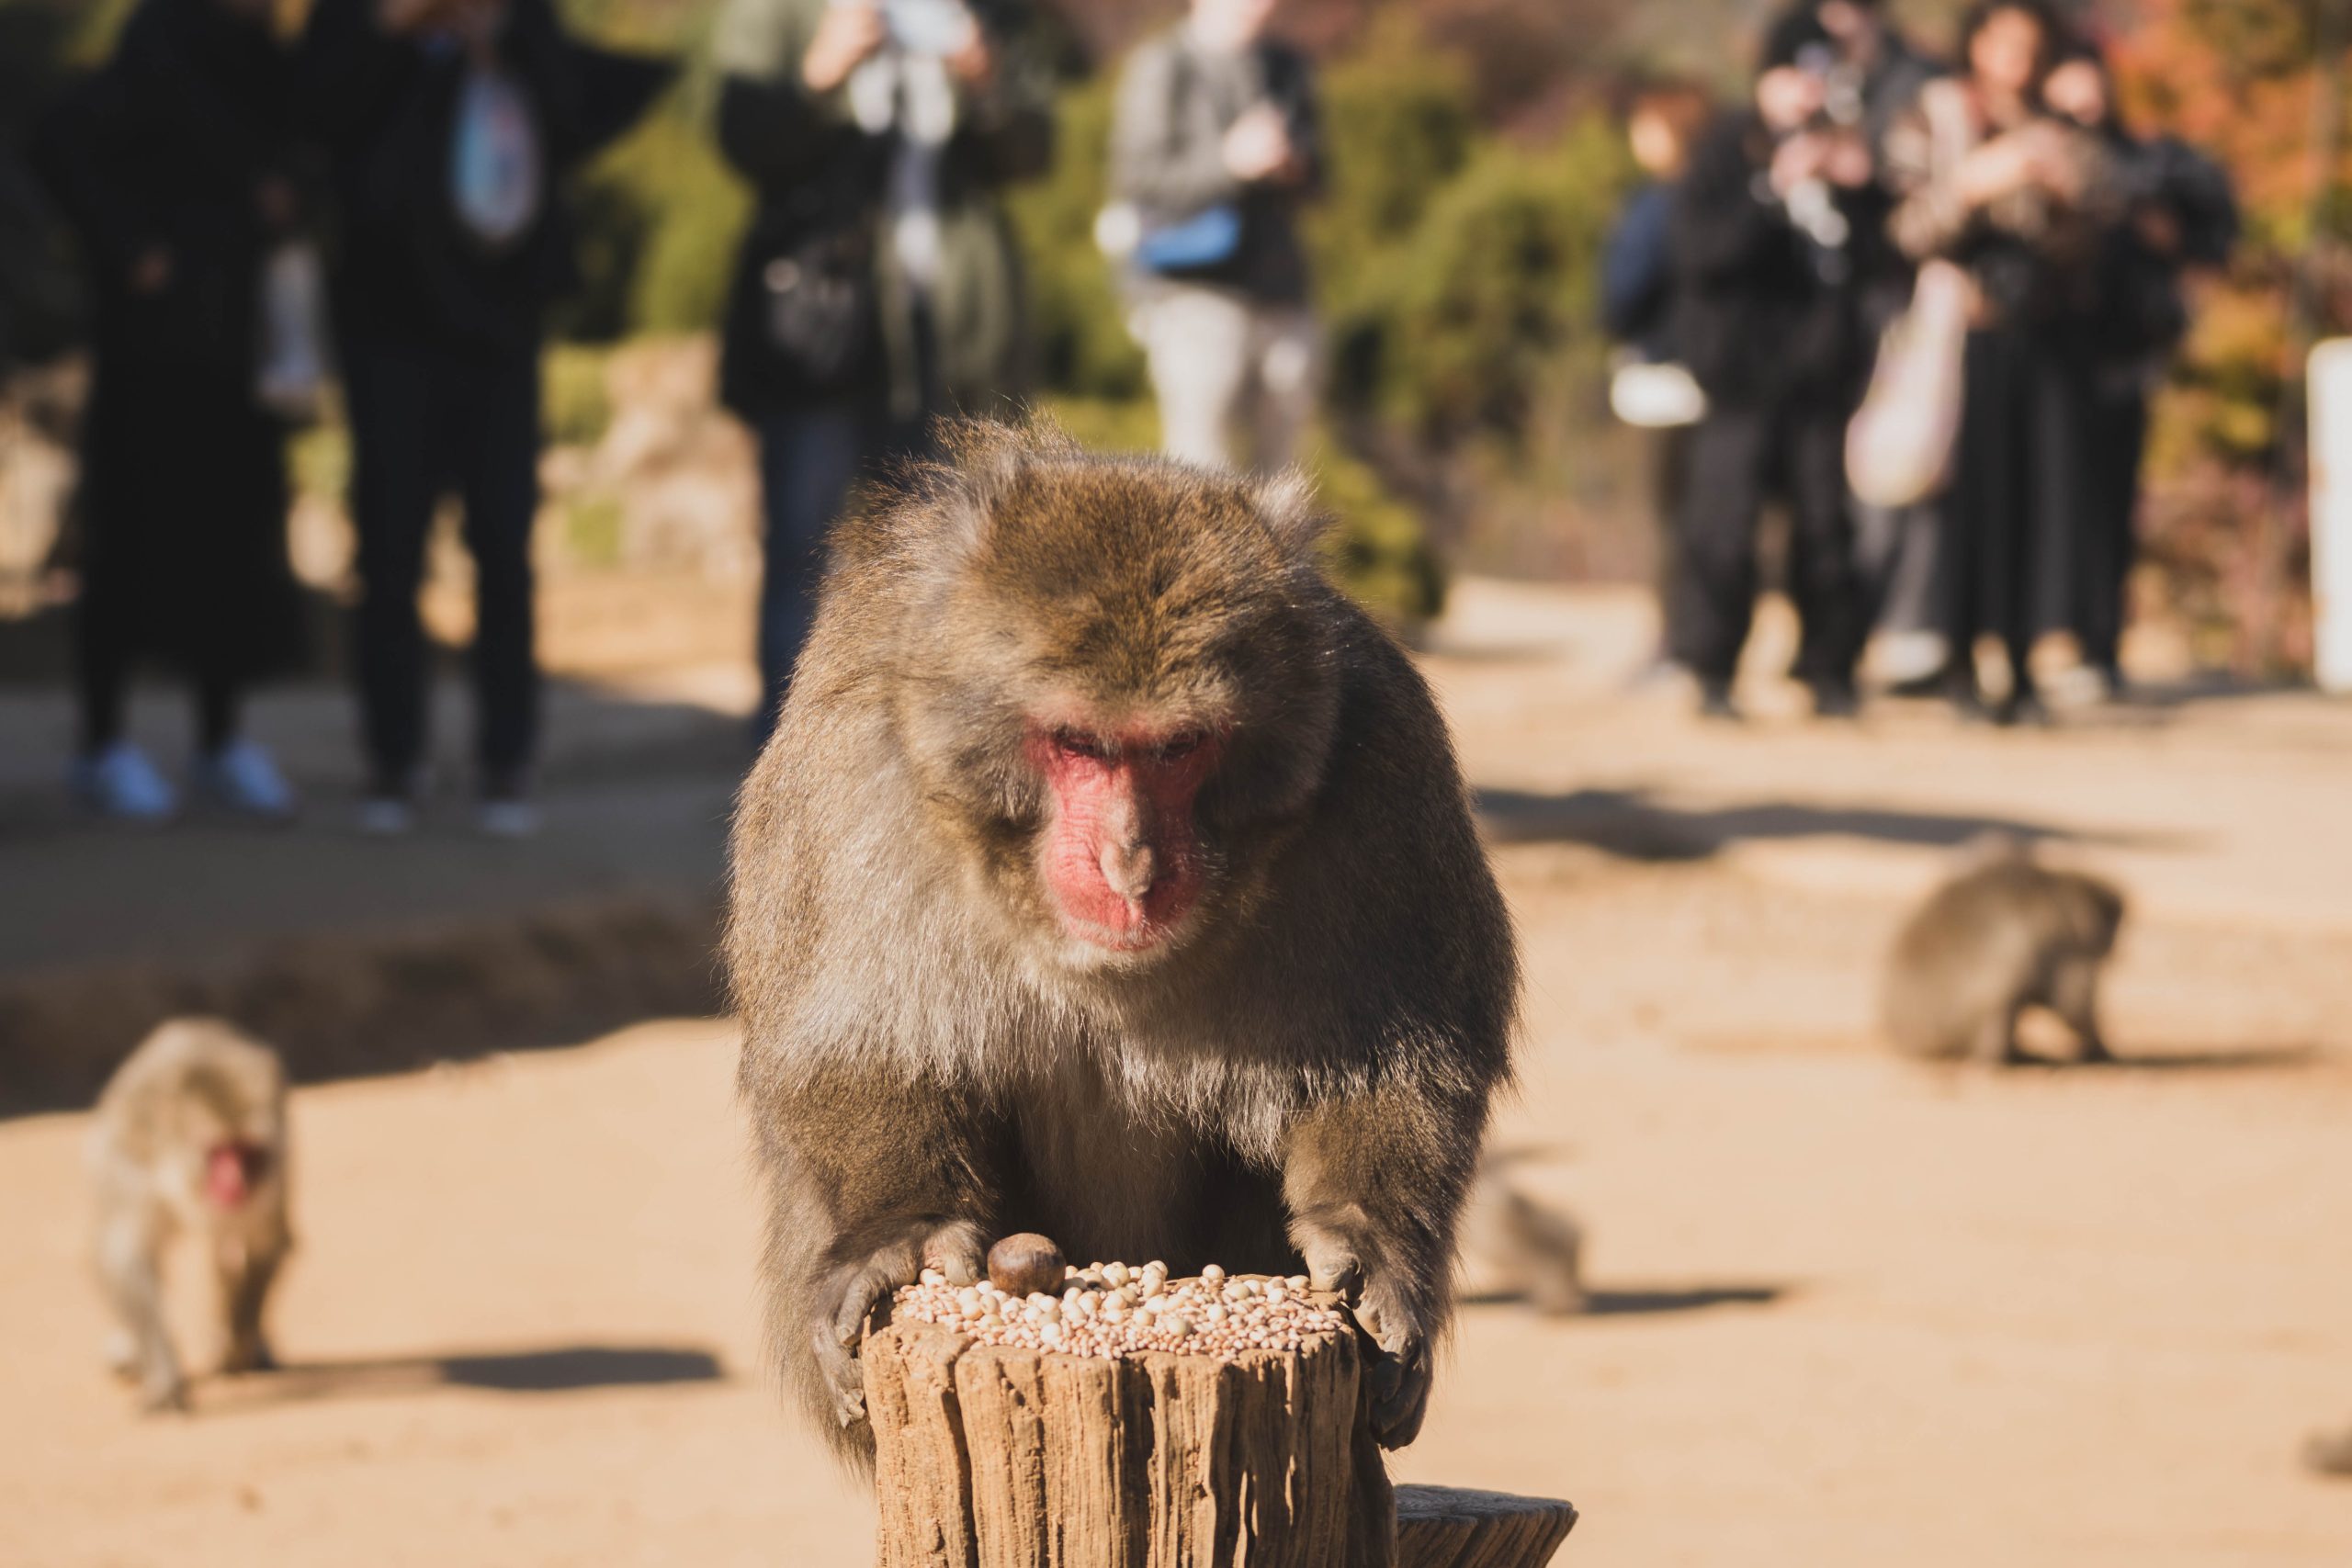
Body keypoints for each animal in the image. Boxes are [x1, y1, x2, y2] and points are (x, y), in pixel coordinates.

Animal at [88, 1017, 291, 1412]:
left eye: (247, 1152)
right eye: (218, 1153)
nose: (236, 1184)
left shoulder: (279, 1160)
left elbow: (264, 1242)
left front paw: (237, 1347)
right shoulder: (130, 1166)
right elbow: (126, 1257)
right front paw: (165, 1376)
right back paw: (131, 1352)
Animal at [727, 421, 1518, 1470]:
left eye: (1178, 747)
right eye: (1078, 743)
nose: (1129, 860)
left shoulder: (1388, 766)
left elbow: (1407, 1059)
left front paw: (1367, 1237)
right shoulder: (850, 764)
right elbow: (853, 1042)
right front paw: (901, 1224)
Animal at [1879, 837, 2127, 1066]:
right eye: (2113, 926)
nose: (2118, 948)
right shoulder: (2064, 944)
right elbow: (2073, 1001)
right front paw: (2101, 1048)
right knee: (2003, 994)